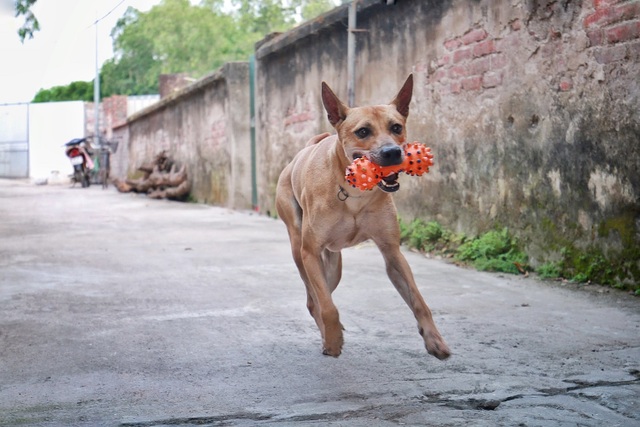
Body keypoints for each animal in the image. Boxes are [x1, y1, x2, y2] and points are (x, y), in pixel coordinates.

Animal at [276, 74, 450, 362]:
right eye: (363, 132)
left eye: (396, 127)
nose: (392, 152)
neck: (354, 193)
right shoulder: (310, 252)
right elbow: (328, 307)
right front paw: (333, 341)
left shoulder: (392, 252)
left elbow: (419, 301)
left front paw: (434, 339)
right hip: (299, 251)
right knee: (315, 301)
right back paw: (328, 335)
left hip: (333, 265)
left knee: (320, 296)